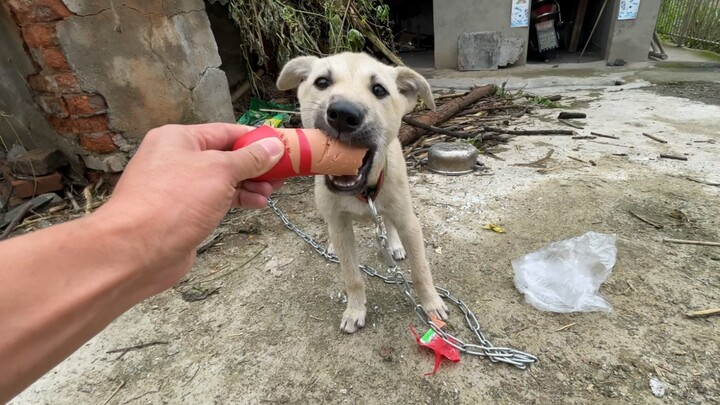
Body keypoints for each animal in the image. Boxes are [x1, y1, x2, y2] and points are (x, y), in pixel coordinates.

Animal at [278, 52, 448, 332]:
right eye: (322, 82)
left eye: (379, 90)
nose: (343, 114)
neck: (363, 191)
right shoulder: (340, 226)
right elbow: (352, 277)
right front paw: (355, 310)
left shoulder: (408, 221)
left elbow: (421, 270)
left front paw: (432, 304)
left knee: (388, 223)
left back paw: (395, 245)